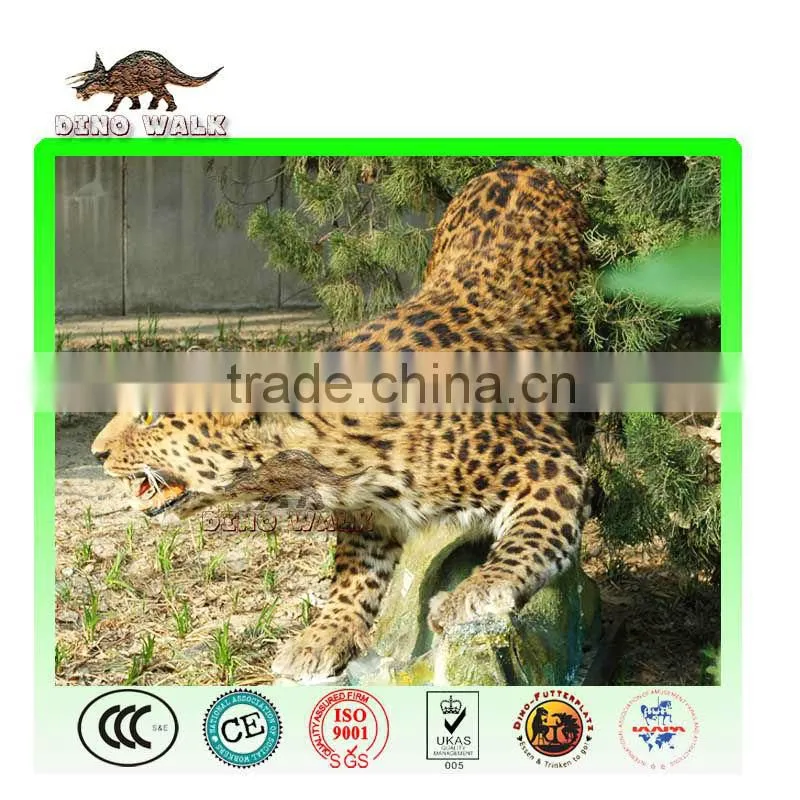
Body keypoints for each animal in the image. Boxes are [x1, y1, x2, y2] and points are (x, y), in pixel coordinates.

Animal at [91, 162, 592, 681]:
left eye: (149, 416)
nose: (96, 452)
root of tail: (519, 166)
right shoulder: (367, 513)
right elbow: (353, 575)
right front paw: (322, 636)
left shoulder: (544, 464)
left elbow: (530, 536)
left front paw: (474, 593)